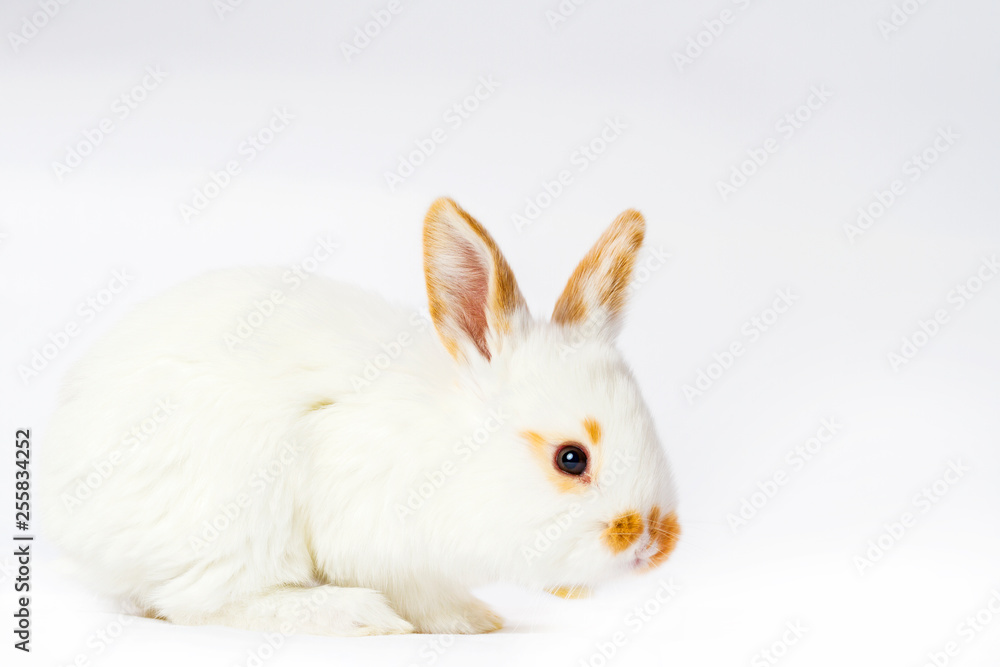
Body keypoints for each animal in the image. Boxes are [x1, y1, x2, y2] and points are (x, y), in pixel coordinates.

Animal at [39, 197, 680, 636]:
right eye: (571, 459)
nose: (658, 545)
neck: (443, 449)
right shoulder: (371, 535)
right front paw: (463, 621)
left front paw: (478, 619)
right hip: (234, 517)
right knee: (209, 602)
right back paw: (356, 615)